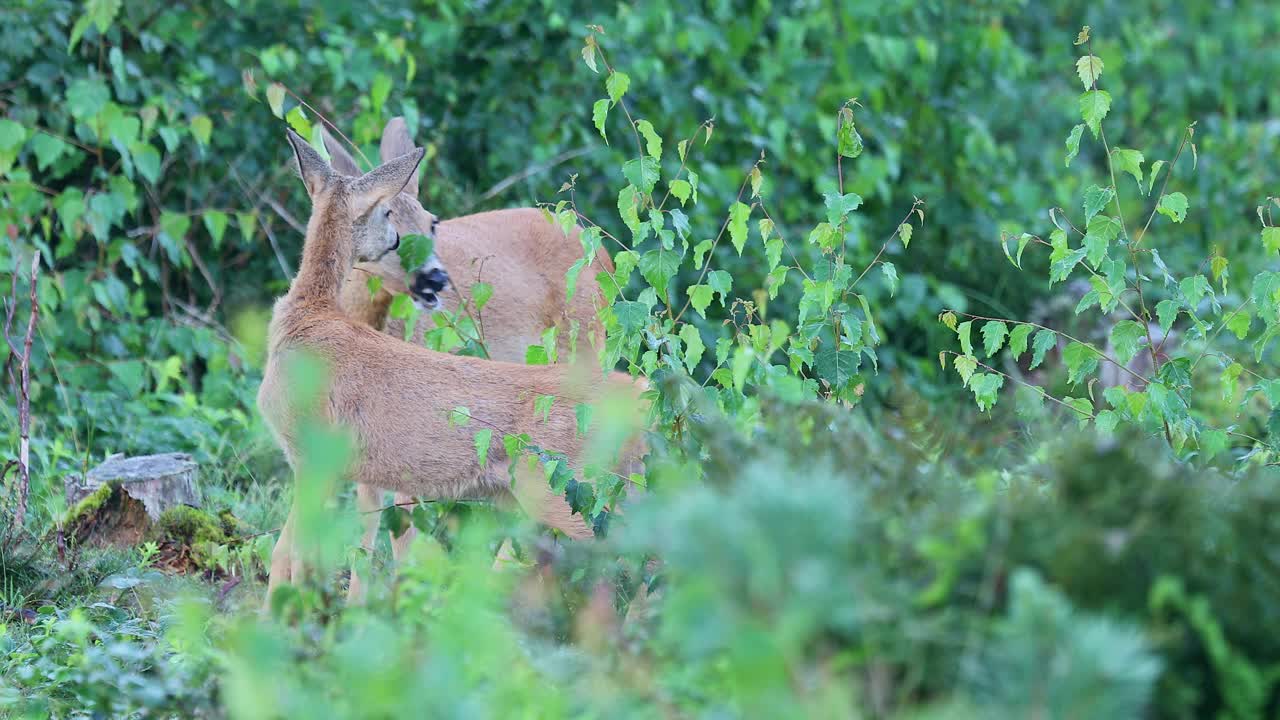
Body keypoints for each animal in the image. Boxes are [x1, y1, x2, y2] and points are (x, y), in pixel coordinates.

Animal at [259, 127, 645, 599]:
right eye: (389, 215)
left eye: (431, 222)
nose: (435, 278)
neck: (310, 315)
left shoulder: (312, 453)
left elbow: (294, 555)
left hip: (568, 485)